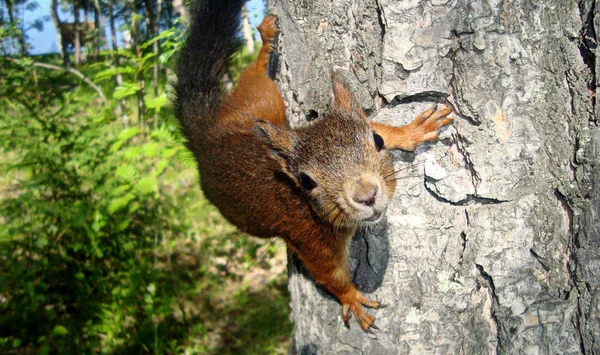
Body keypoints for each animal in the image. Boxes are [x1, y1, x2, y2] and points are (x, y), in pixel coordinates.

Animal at [176, 0, 452, 334]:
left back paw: (266, 38)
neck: (302, 201)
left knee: (253, 79)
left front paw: (412, 131)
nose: (366, 195)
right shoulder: (310, 241)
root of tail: (206, 136)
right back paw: (265, 41)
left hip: (256, 105)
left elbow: (383, 126)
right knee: (254, 78)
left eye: (375, 142)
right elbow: (329, 276)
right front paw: (352, 299)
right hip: (261, 102)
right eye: (307, 181)